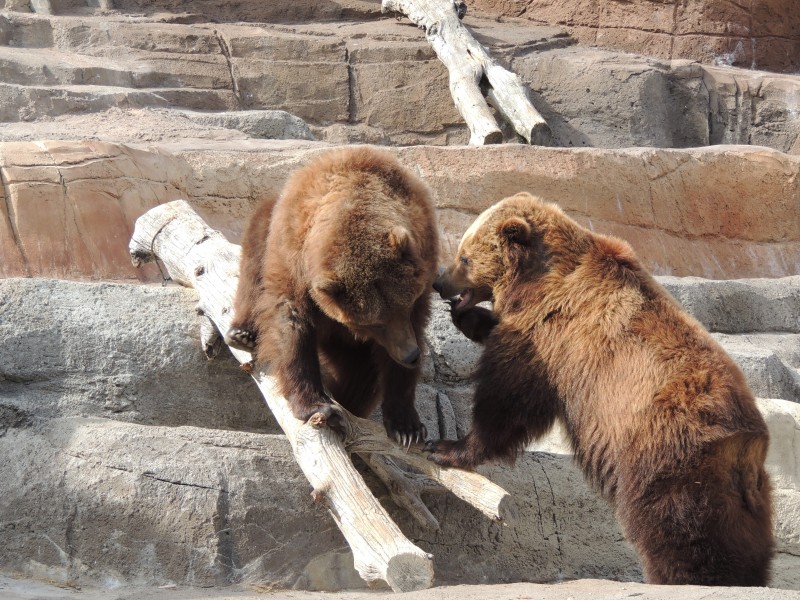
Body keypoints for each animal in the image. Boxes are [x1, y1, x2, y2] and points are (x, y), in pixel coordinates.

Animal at [223, 148, 438, 442]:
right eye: (375, 323)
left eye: (405, 307)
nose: (411, 354)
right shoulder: (293, 259)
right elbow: (289, 323)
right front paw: (316, 405)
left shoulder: (424, 254)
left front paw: (406, 426)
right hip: (268, 229)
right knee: (254, 260)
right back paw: (242, 333)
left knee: (361, 372)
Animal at [428, 192, 772, 584]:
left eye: (464, 256)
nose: (440, 282)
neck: (534, 280)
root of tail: (748, 444)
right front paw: (467, 318)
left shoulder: (552, 333)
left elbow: (508, 400)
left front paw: (447, 446)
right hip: (742, 492)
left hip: (663, 455)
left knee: (678, 525)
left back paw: (682, 577)